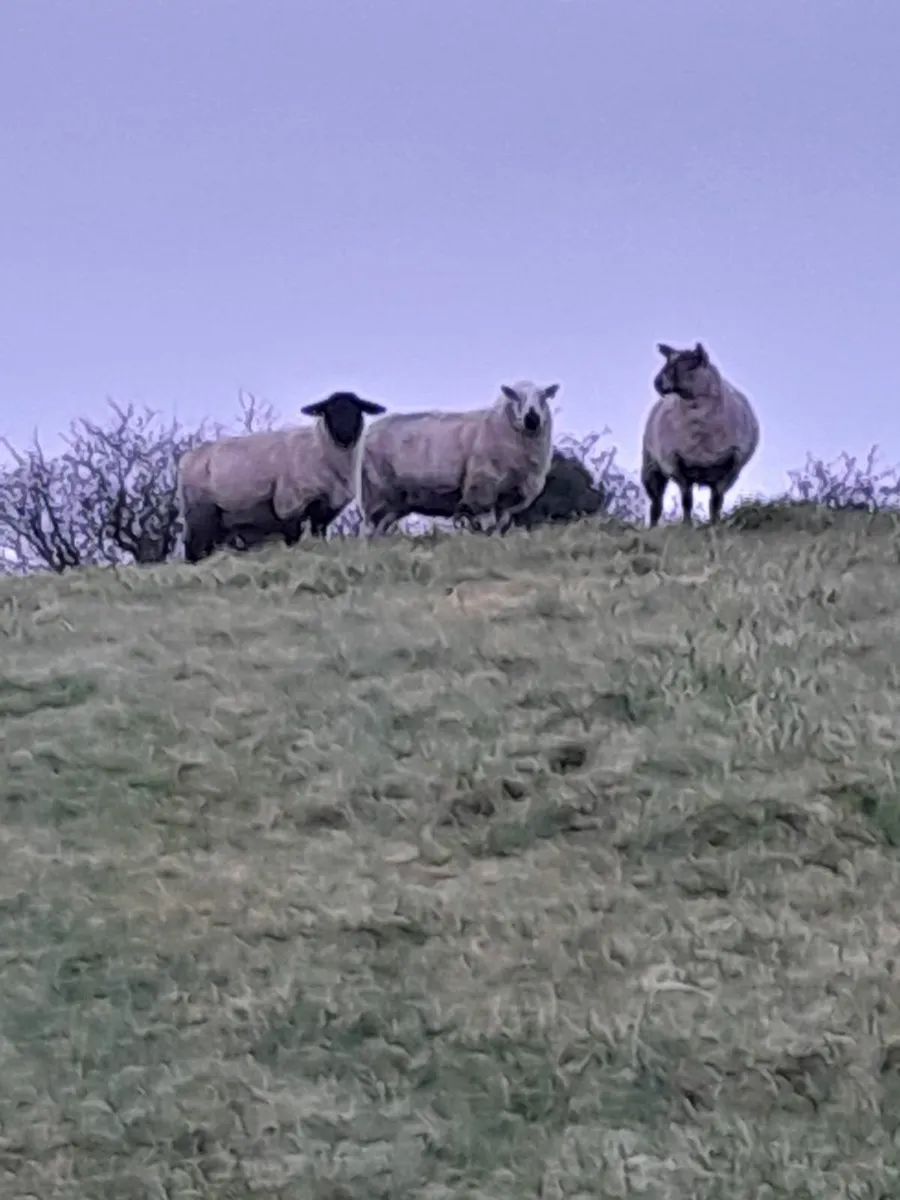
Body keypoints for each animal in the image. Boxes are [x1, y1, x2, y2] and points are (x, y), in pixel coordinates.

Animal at [177, 390, 386, 563]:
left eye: (357, 410)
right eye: (328, 411)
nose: (345, 433)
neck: (320, 447)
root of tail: (188, 459)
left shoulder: (324, 508)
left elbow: (318, 535)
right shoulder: (290, 505)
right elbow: (292, 538)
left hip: (221, 521)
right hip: (201, 513)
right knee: (194, 551)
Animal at [356, 380, 559, 537]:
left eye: (543, 397)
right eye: (514, 396)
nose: (532, 418)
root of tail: (370, 431)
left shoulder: (509, 498)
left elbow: (501, 526)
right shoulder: (481, 489)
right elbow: (488, 525)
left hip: (396, 501)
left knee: (380, 528)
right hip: (376, 490)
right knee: (367, 528)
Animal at [641, 342, 760, 527]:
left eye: (691, 364)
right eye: (667, 362)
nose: (657, 383)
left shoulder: (731, 467)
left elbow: (716, 502)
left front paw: (715, 525)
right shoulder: (677, 465)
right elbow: (687, 500)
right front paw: (687, 525)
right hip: (651, 466)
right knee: (656, 503)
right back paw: (652, 527)